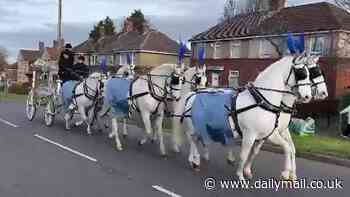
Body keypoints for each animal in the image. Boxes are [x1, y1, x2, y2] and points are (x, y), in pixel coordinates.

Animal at [176, 54, 314, 181]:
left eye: (309, 74)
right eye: (301, 73)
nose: (308, 96)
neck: (262, 102)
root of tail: (194, 95)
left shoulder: (267, 134)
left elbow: (260, 152)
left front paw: (248, 171)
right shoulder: (252, 134)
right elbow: (246, 154)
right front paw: (241, 175)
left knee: (198, 139)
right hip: (194, 126)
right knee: (192, 139)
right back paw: (194, 160)